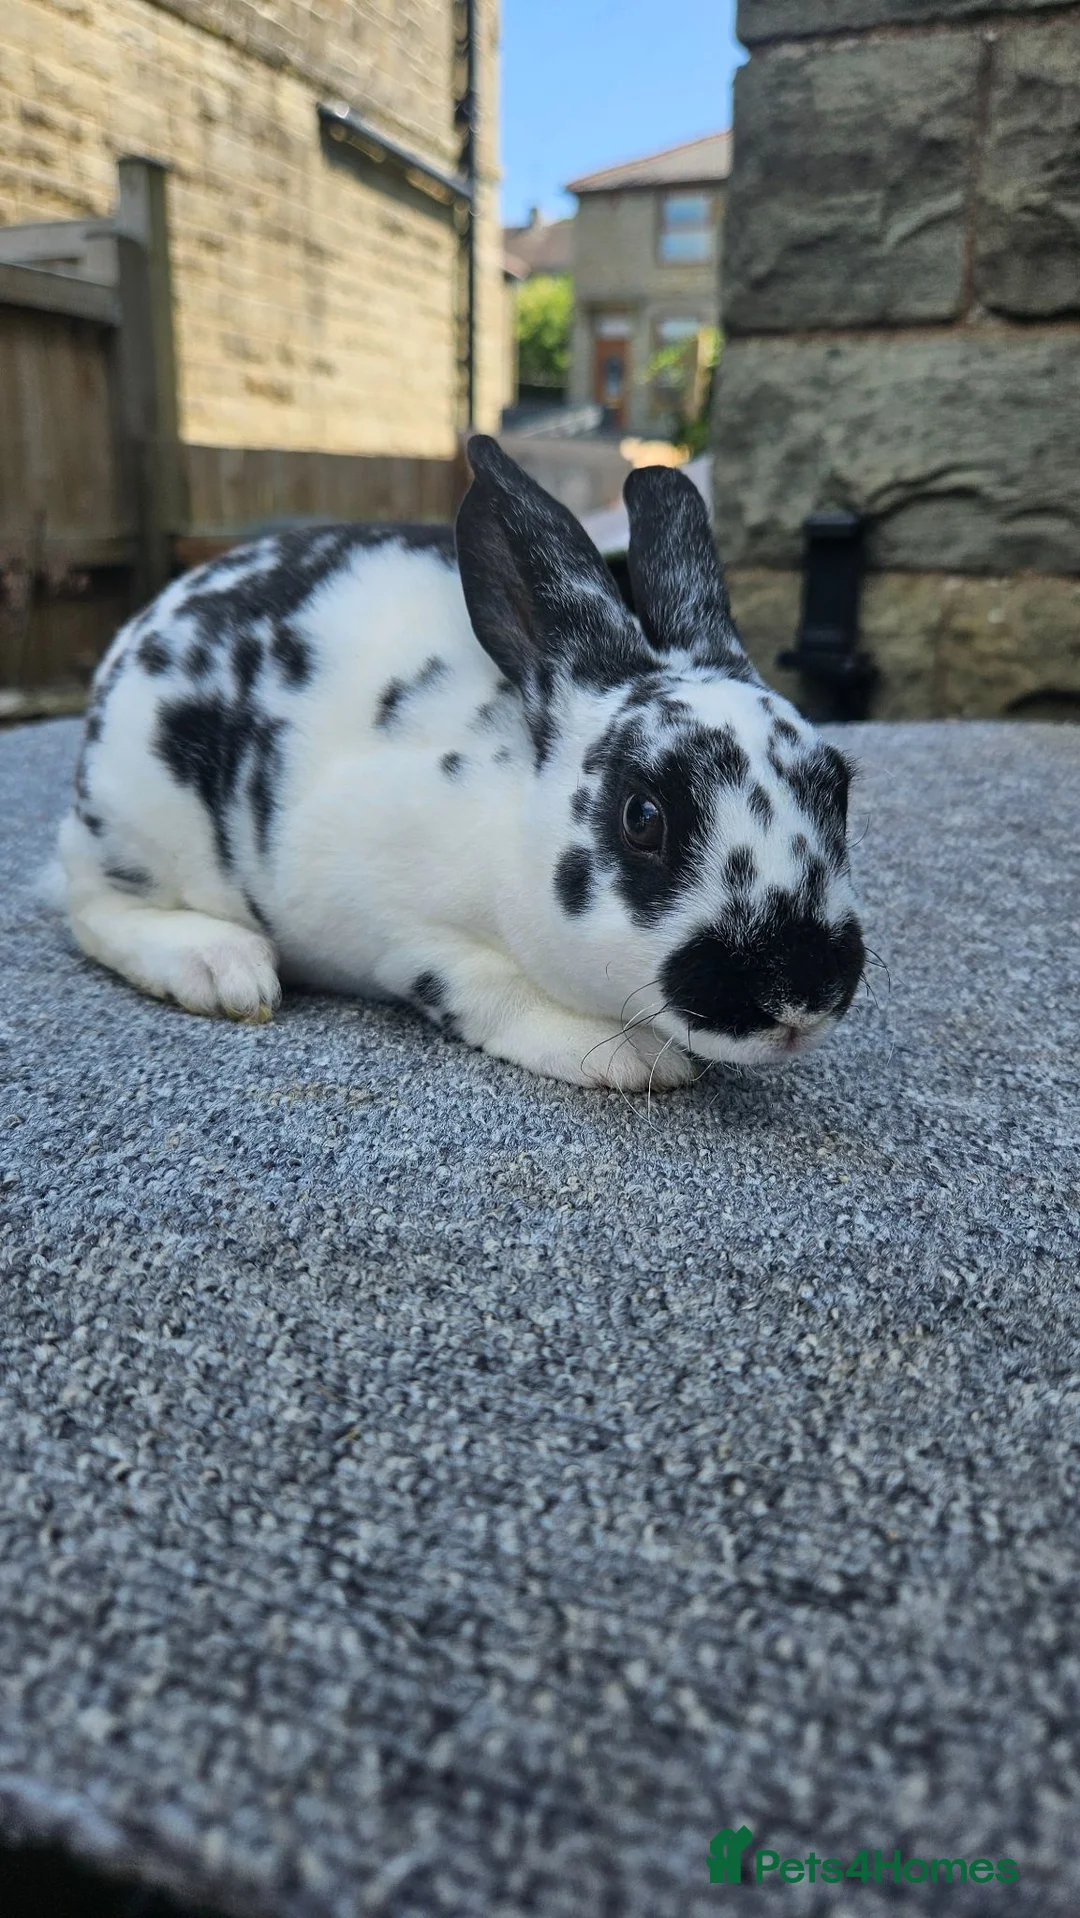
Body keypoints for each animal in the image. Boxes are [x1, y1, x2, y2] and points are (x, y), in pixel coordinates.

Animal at [54, 434, 865, 1092]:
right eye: (643, 817)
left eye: (838, 791)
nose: (800, 997)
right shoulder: (396, 924)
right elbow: (482, 987)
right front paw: (627, 1057)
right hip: (137, 821)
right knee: (92, 907)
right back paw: (224, 969)